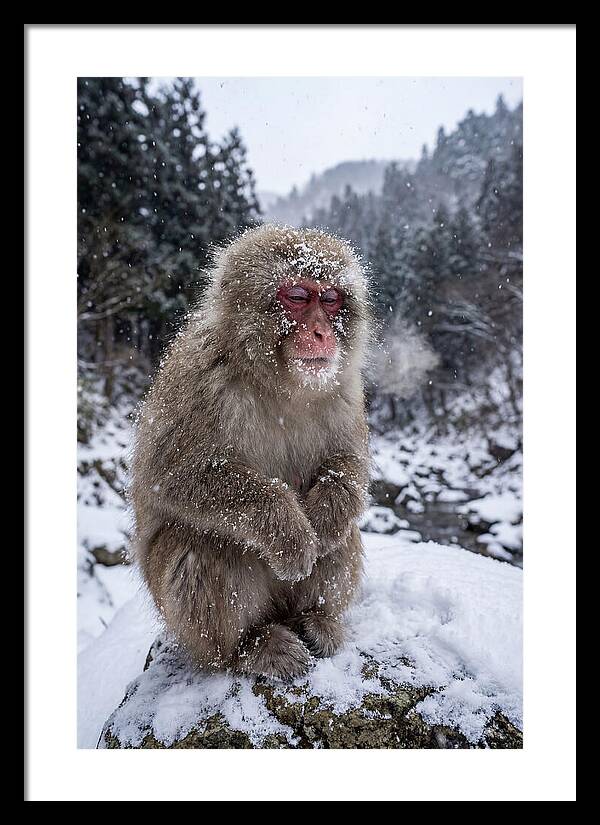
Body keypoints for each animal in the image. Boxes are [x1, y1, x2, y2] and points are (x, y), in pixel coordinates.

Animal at [130, 224, 372, 681]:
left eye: (331, 299)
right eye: (297, 296)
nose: (322, 332)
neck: (279, 384)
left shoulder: (346, 389)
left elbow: (349, 463)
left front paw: (324, 519)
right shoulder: (198, 377)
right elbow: (172, 475)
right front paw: (290, 532)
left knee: (344, 534)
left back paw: (316, 619)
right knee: (202, 544)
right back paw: (248, 648)